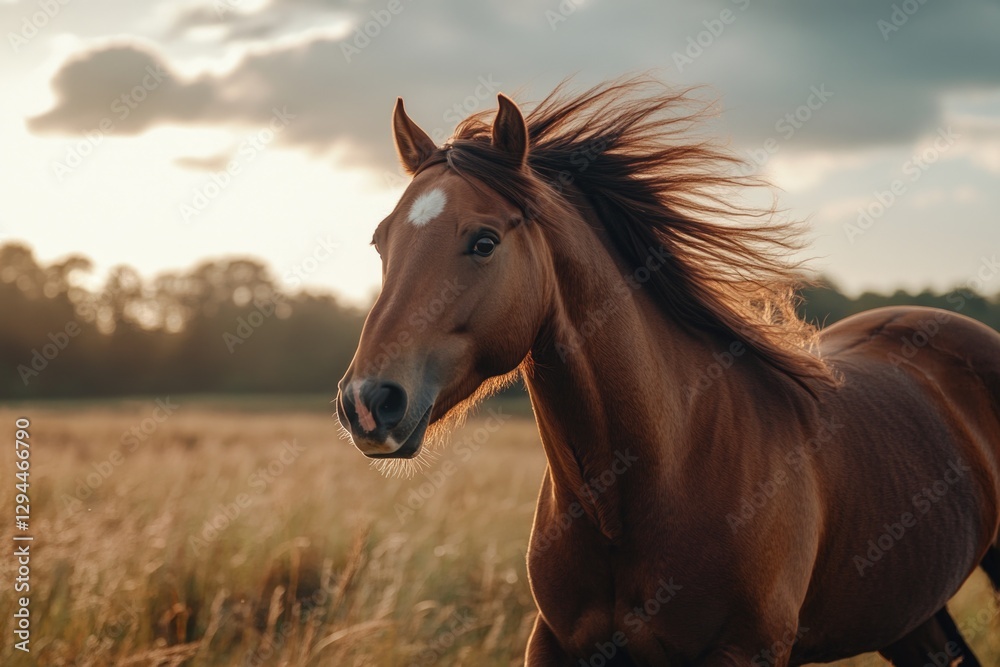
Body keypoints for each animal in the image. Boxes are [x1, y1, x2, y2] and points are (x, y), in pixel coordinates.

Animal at [335, 78, 1000, 665]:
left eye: (483, 241)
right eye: (379, 242)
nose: (368, 402)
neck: (662, 470)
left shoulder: (747, 650)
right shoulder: (556, 645)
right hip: (909, 614)